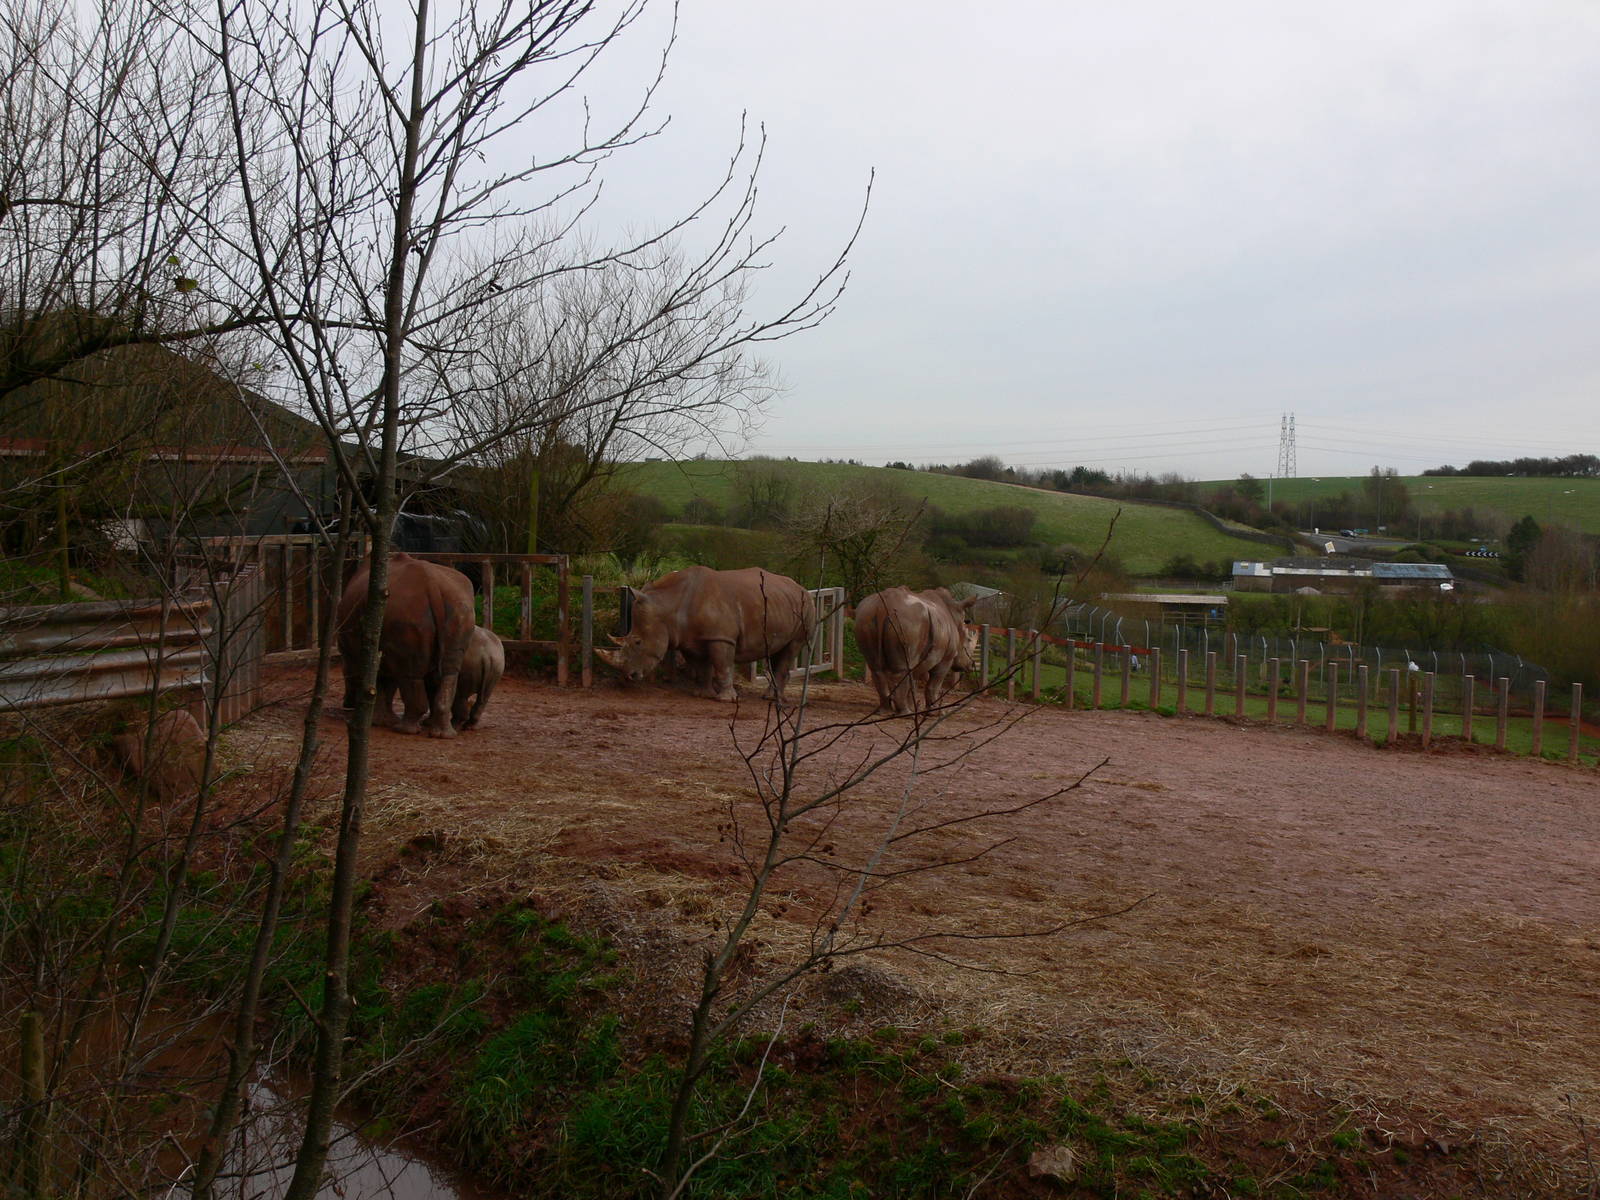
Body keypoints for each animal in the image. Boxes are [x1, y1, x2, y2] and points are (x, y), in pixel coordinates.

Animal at [338, 552, 475, 737]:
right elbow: (386, 683)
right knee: (449, 672)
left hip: (406, 613)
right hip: (459, 607)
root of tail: (432, 585)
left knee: (409, 674)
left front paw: (376, 722)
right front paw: (383, 721)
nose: (346, 704)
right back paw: (443, 734)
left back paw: (403, 730)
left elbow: (381, 682)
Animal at [597, 566, 816, 701]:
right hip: (783, 605)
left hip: (806, 606)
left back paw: (771, 698)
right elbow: (701, 666)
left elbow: (722, 665)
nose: (629, 677)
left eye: (638, 642)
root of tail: (801, 587)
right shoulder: (690, 638)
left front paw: (726, 699)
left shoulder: (721, 637)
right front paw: (702, 695)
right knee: (776, 651)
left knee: (792, 647)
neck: (670, 603)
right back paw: (773, 697)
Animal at [854, 586, 978, 715]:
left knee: (877, 668)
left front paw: (915, 709)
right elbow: (934, 684)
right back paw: (905, 713)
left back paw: (885, 712)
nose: (970, 665)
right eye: (969, 639)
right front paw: (935, 712)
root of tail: (881, 608)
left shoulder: (919, 658)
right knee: (902, 669)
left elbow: (912, 683)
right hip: (909, 622)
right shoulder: (947, 658)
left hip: (866, 616)